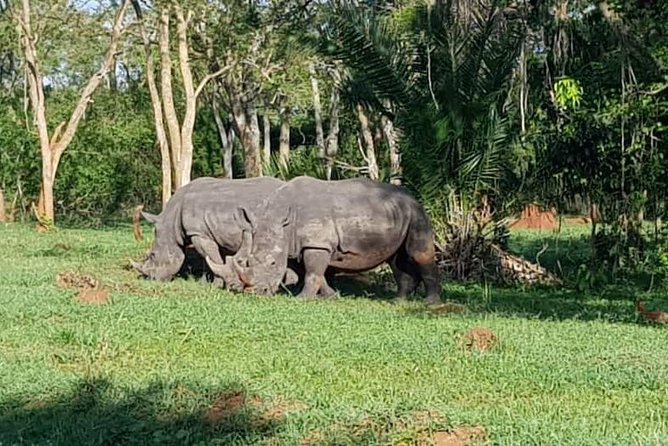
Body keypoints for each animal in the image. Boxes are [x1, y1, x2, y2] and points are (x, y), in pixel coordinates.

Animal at [131, 176, 298, 289]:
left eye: (153, 255)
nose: (151, 278)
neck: (171, 224)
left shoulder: (198, 233)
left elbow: (211, 258)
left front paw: (216, 284)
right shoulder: (215, 233)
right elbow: (213, 259)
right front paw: (206, 282)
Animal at [206, 176, 441, 302]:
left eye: (272, 263)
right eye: (248, 262)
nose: (255, 293)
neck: (282, 220)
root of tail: (412, 197)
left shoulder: (316, 243)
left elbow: (312, 272)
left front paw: (301, 299)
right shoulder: (298, 244)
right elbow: (316, 273)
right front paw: (331, 296)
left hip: (416, 213)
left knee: (418, 254)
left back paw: (430, 303)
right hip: (397, 214)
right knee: (395, 259)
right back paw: (398, 301)